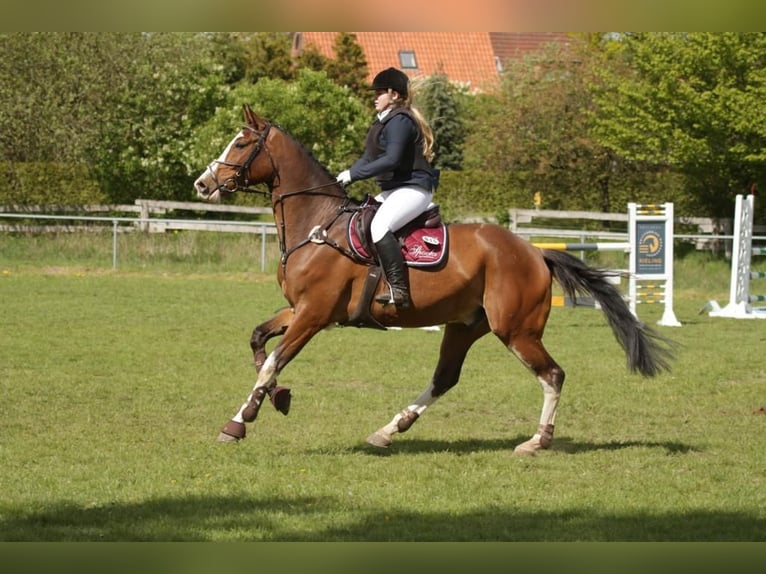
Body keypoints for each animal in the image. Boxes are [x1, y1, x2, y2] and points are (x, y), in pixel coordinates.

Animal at [193, 104, 674, 455]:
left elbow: (273, 361)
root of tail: (535, 252)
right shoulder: (299, 309)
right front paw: (275, 399)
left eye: (241, 143)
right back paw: (390, 429)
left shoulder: (313, 315)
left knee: (552, 374)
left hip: (516, 330)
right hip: (465, 326)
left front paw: (238, 422)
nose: (201, 184)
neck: (317, 224)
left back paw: (536, 442)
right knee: (445, 378)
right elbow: (259, 343)